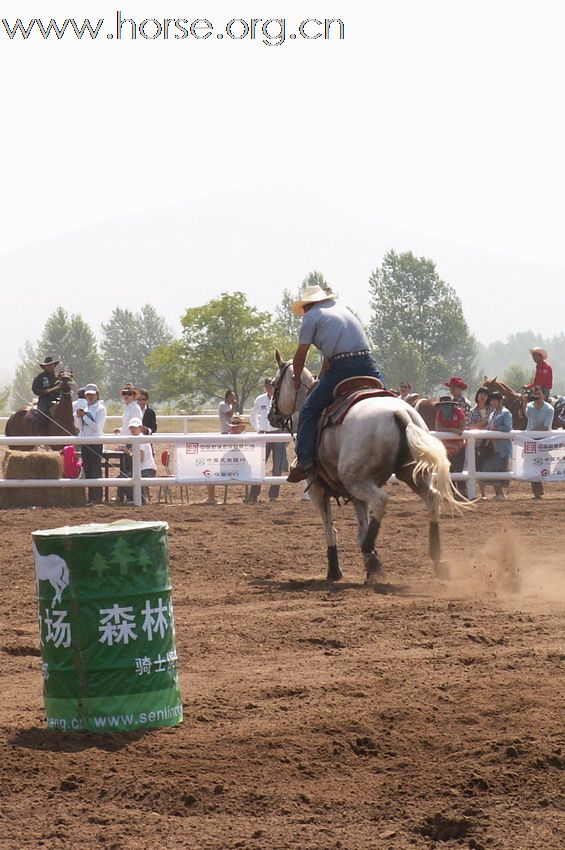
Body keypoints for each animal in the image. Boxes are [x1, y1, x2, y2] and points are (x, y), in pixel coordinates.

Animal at [268, 352, 462, 584]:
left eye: (275, 384)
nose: (271, 416)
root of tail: (399, 412)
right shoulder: (356, 496)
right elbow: (362, 526)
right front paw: (370, 568)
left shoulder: (318, 489)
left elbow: (330, 529)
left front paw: (336, 570)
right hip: (409, 474)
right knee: (432, 498)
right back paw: (437, 559)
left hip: (357, 481)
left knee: (381, 500)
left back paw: (371, 551)